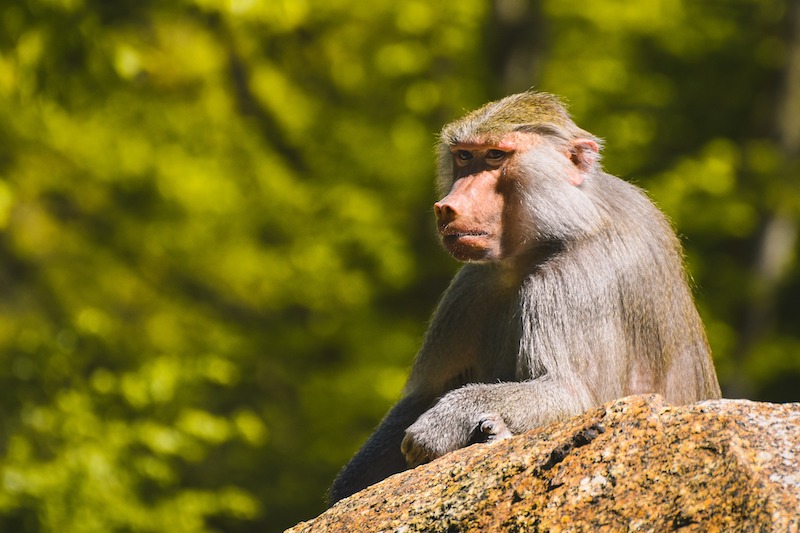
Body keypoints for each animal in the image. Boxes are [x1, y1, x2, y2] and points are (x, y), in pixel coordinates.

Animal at [327, 91, 721, 505]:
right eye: (464, 156)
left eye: (495, 155)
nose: (447, 206)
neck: (564, 223)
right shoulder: (475, 284)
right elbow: (424, 395)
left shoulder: (574, 279)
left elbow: (568, 395)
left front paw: (446, 422)